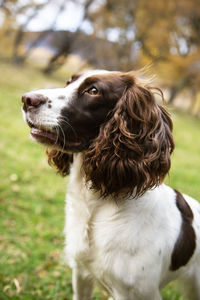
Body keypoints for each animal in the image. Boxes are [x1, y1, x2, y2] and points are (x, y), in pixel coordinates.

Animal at [21, 69, 200, 298]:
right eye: (69, 82)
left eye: (93, 90)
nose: (27, 99)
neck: (97, 203)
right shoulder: (81, 274)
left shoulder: (136, 293)